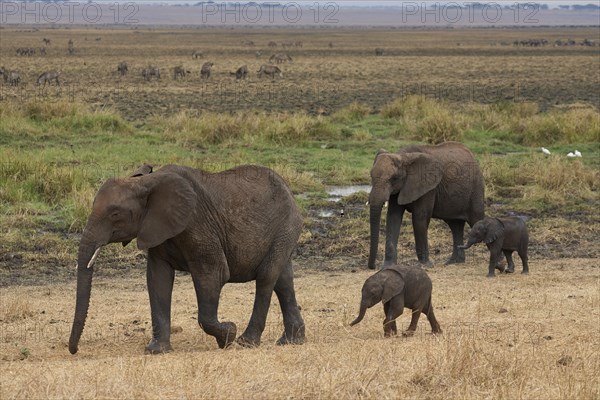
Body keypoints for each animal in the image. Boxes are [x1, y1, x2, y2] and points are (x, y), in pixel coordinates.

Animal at [69, 164, 304, 354]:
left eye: (115, 214)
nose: (74, 350)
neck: (146, 182)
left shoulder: (198, 225)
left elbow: (213, 274)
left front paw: (228, 335)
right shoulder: (157, 228)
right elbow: (158, 279)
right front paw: (157, 351)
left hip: (286, 226)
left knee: (266, 277)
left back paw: (246, 342)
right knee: (283, 280)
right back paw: (292, 341)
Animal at [368, 142, 486, 270]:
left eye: (393, 178)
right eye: (371, 176)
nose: (372, 266)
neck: (403, 156)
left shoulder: (428, 187)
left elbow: (420, 218)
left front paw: (424, 265)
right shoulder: (400, 189)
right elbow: (393, 217)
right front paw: (387, 266)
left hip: (476, 188)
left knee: (476, 219)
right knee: (455, 226)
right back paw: (454, 262)